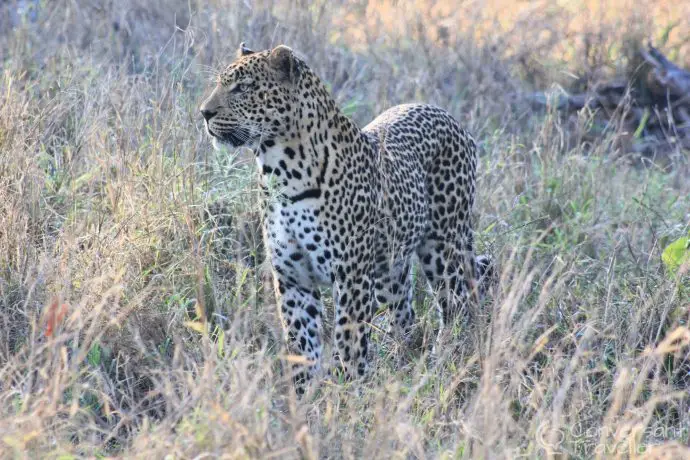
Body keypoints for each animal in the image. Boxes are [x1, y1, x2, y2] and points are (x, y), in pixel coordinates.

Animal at [199, 44, 490, 396]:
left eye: (243, 88)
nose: (204, 112)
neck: (279, 170)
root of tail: (448, 117)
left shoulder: (351, 276)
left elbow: (348, 341)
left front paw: (346, 391)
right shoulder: (293, 278)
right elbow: (301, 343)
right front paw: (304, 396)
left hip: (444, 249)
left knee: (458, 304)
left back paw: (448, 361)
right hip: (390, 270)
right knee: (405, 314)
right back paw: (405, 363)